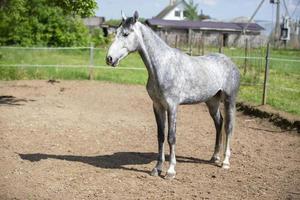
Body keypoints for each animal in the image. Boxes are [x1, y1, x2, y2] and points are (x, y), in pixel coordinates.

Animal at [106, 11, 240, 180]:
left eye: (126, 34)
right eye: (116, 32)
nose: (109, 59)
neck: (163, 66)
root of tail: (230, 62)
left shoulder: (172, 106)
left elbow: (171, 136)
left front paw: (170, 171)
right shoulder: (158, 106)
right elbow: (160, 136)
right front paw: (156, 169)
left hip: (230, 100)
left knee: (229, 127)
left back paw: (225, 162)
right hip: (212, 102)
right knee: (219, 123)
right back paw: (214, 157)